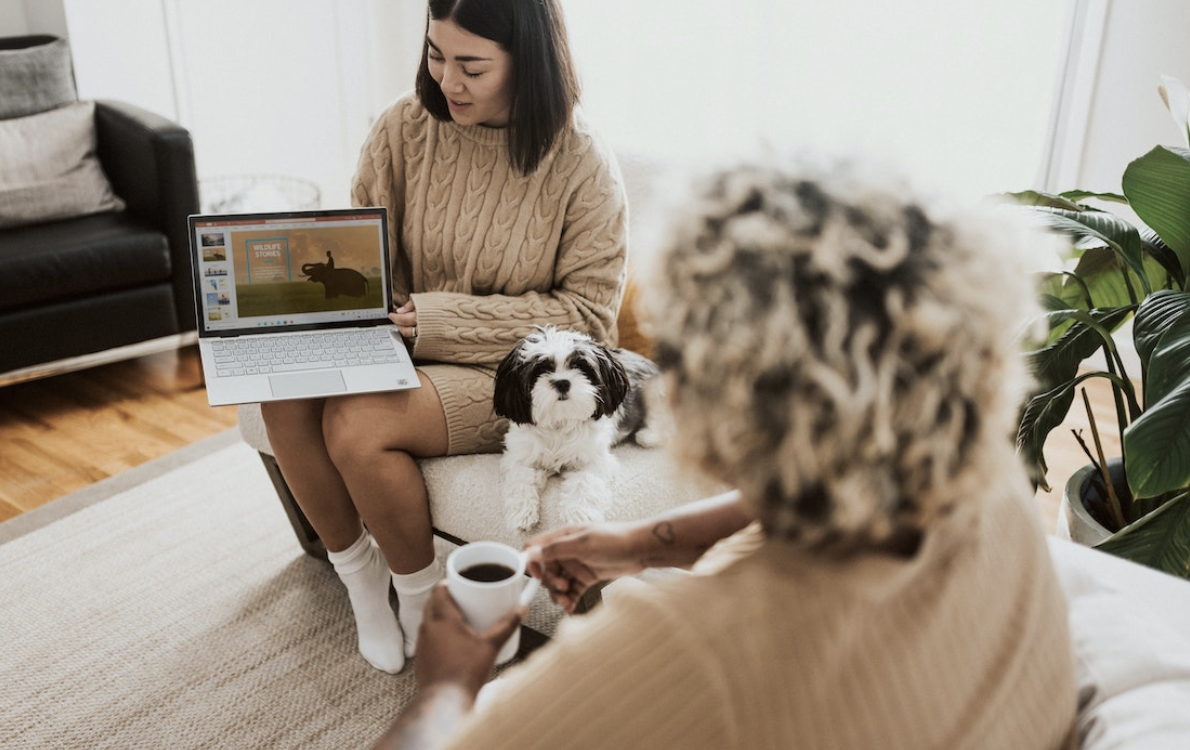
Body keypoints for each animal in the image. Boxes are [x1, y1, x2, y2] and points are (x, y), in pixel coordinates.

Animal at [487, 326, 666, 530]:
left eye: (581, 367)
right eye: (541, 369)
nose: (562, 382)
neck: (560, 421)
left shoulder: (594, 461)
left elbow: (584, 483)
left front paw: (579, 517)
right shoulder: (519, 458)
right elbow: (520, 480)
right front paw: (521, 512)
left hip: (654, 393)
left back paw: (649, 434)